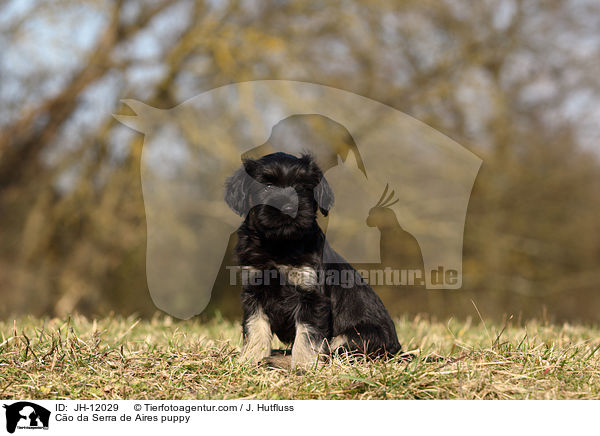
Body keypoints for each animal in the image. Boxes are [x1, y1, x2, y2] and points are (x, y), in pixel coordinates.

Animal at [223, 152, 400, 368]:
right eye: (267, 186)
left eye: (303, 187)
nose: (289, 207)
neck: (279, 246)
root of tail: (396, 351)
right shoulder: (254, 291)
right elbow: (255, 327)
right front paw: (249, 359)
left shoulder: (312, 297)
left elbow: (306, 336)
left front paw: (302, 366)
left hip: (355, 337)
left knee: (335, 354)